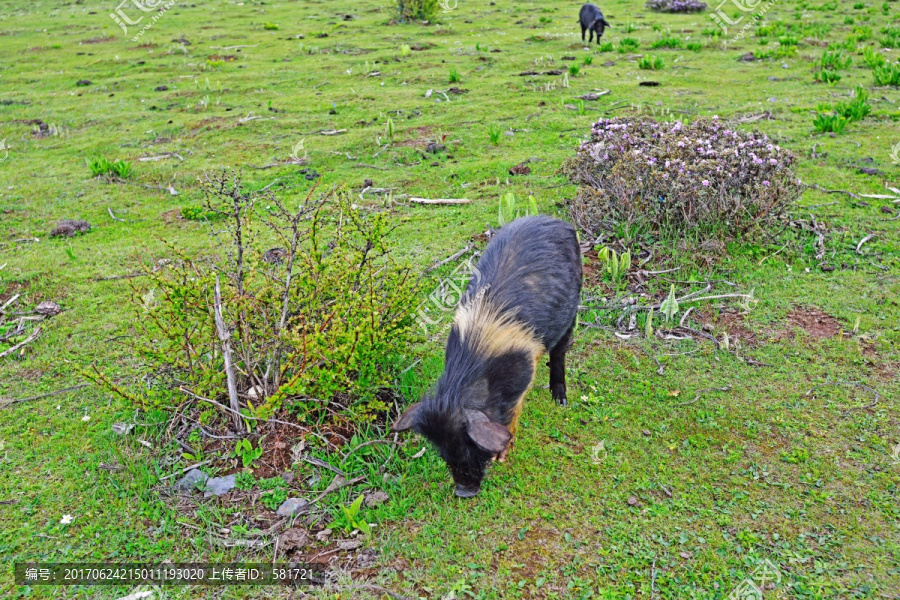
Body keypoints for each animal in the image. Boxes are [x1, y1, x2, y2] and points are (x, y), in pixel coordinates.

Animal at [390, 216, 580, 496]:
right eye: (443, 451)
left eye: (473, 445)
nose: (463, 491)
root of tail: (555, 220)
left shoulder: (525, 370)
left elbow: (513, 412)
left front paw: (503, 456)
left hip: (573, 308)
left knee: (560, 353)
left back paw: (560, 401)